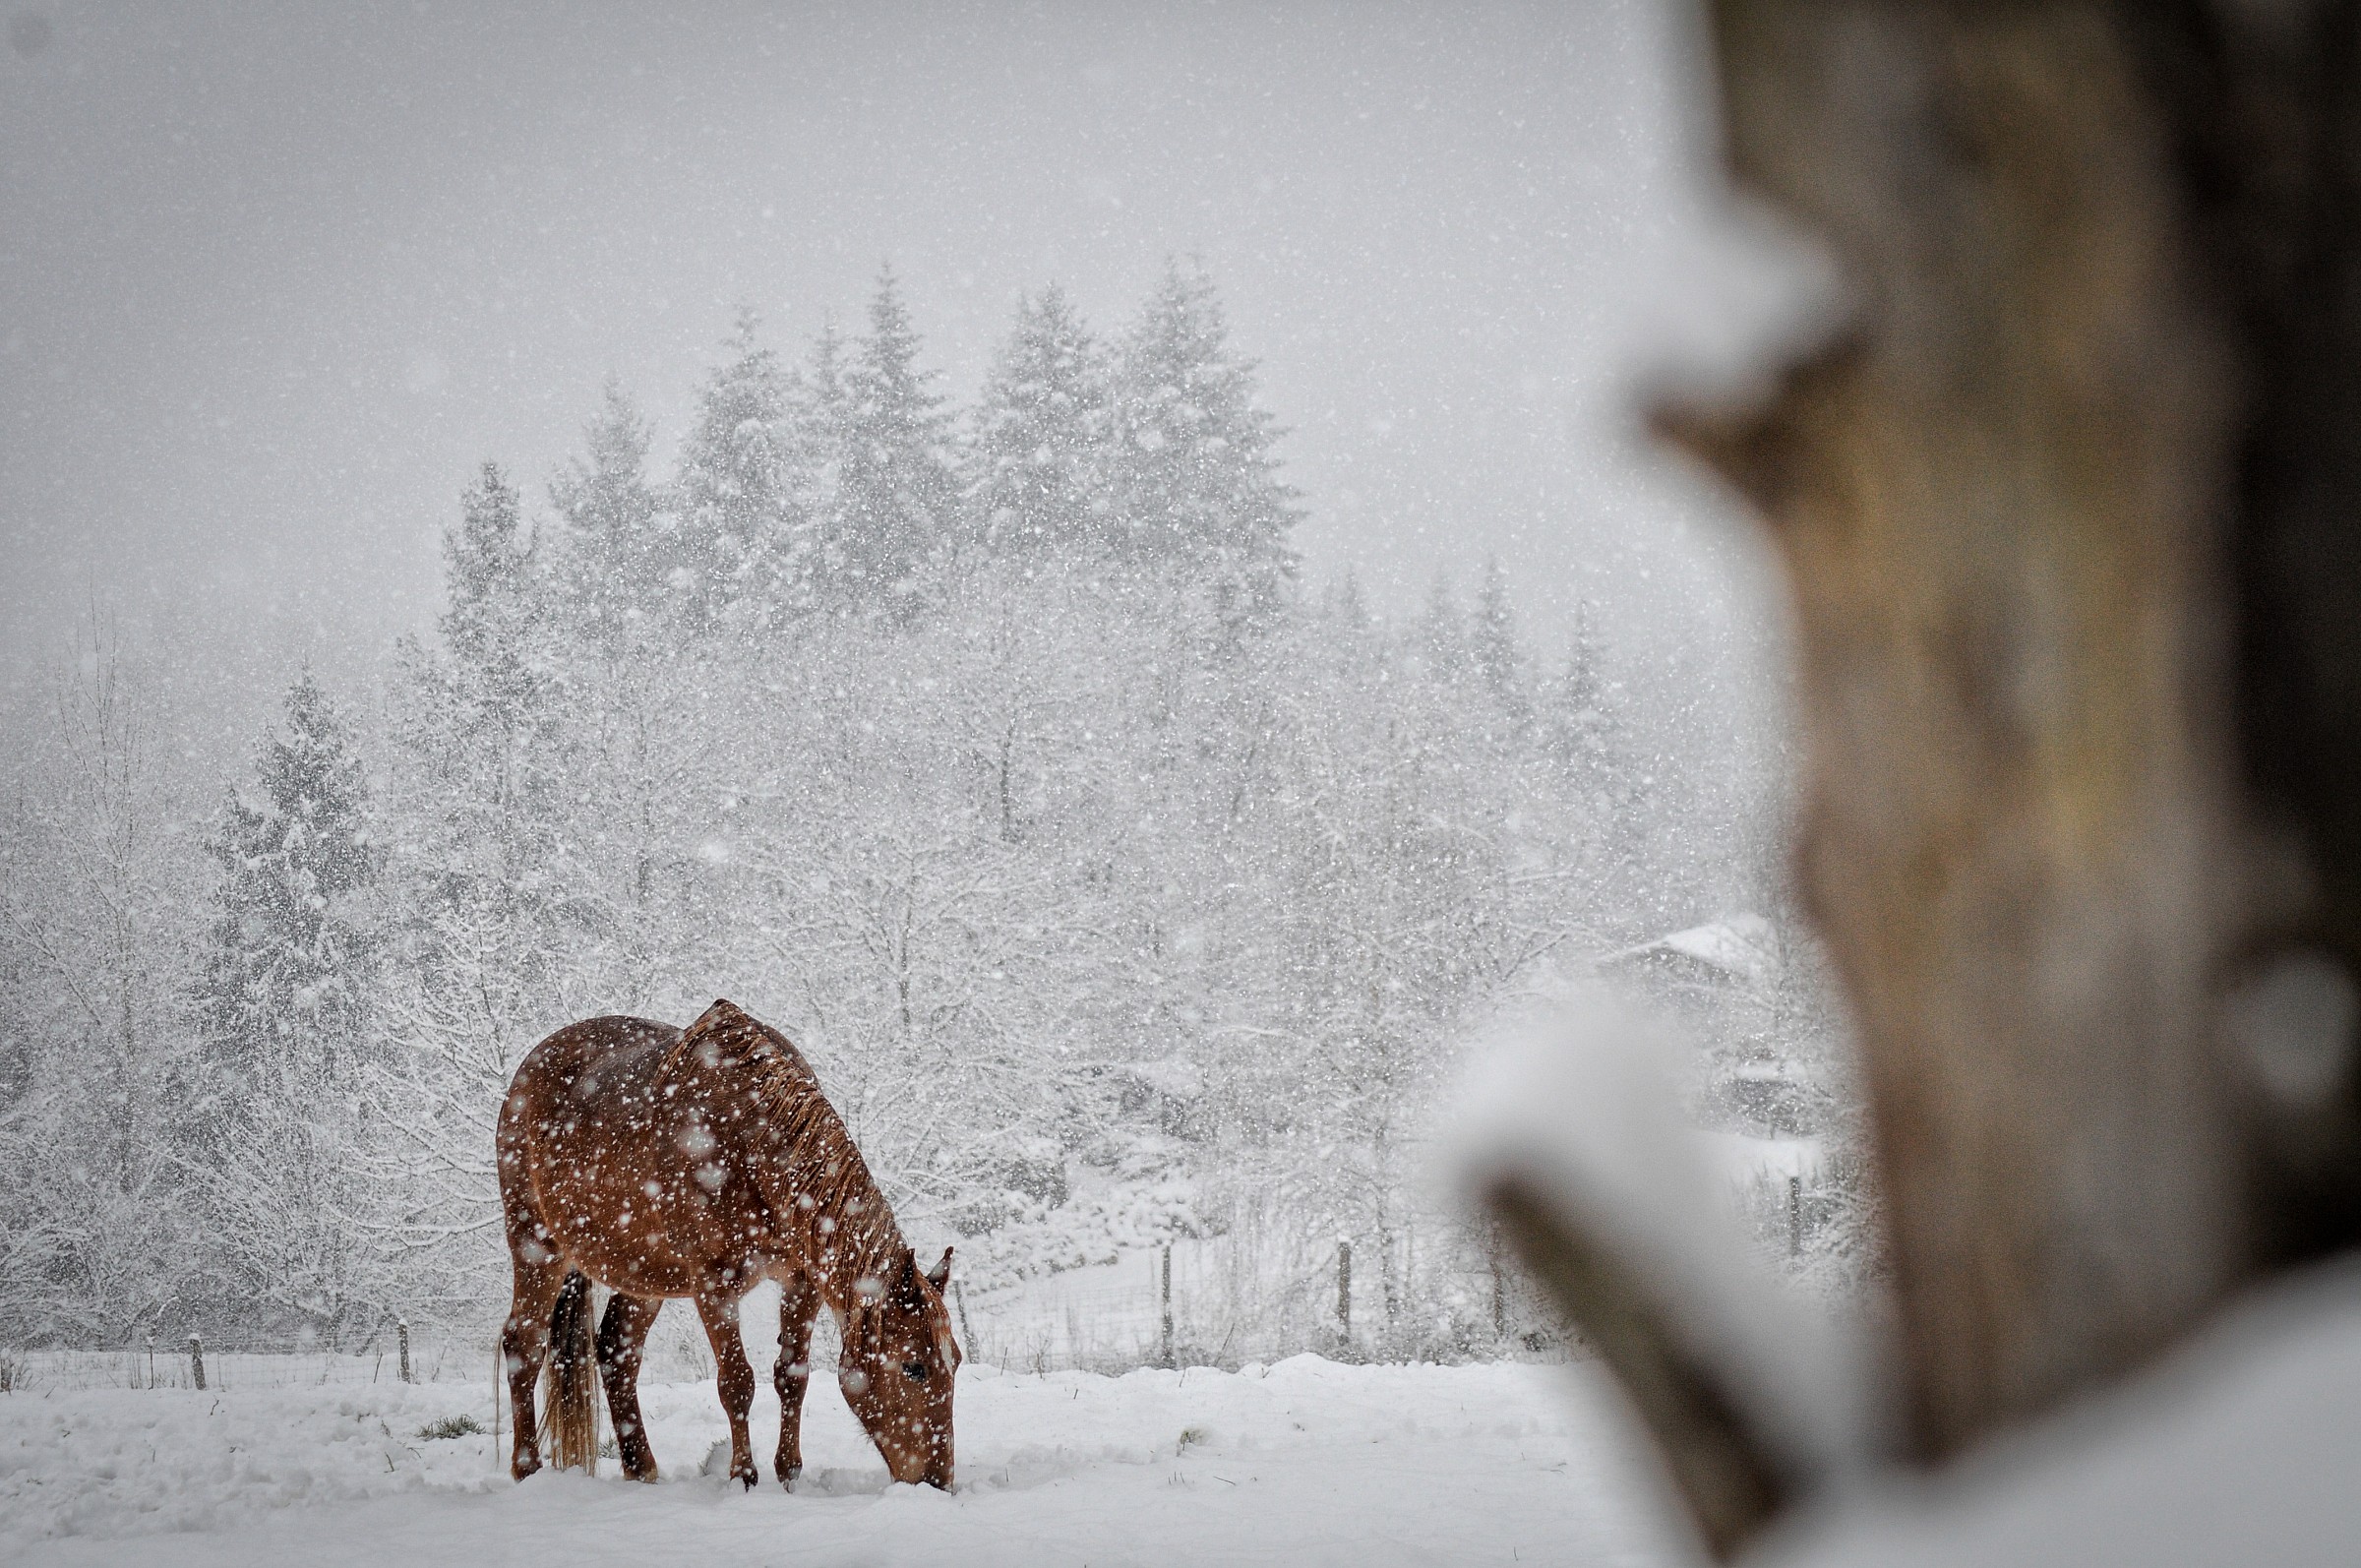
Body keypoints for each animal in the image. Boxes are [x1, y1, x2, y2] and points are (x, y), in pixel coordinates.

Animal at [495, 998, 960, 1490]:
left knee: (616, 1352)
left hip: (643, 1273)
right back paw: (527, 1468)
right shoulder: (713, 1284)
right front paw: (744, 1476)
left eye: (956, 1361)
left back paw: (641, 1469)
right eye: (914, 1366)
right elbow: (737, 1382)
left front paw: (788, 1473)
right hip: (536, 1244)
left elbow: (792, 1375)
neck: (751, 1136)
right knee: (523, 1343)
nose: (939, 1481)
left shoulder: (801, 1281)